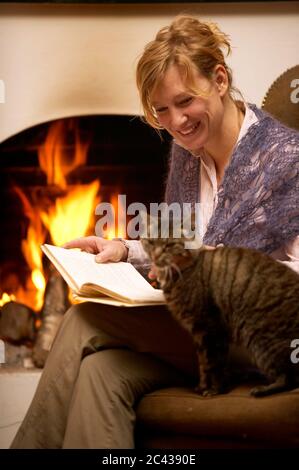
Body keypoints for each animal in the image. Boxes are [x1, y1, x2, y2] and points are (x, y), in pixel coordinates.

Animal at [142, 229, 299, 394]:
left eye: (170, 245)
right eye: (151, 242)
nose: (155, 256)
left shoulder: (210, 328)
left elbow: (213, 364)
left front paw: (214, 390)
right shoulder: (202, 335)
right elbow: (205, 364)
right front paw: (204, 386)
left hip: (260, 340)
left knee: (289, 378)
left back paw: (261, 390)